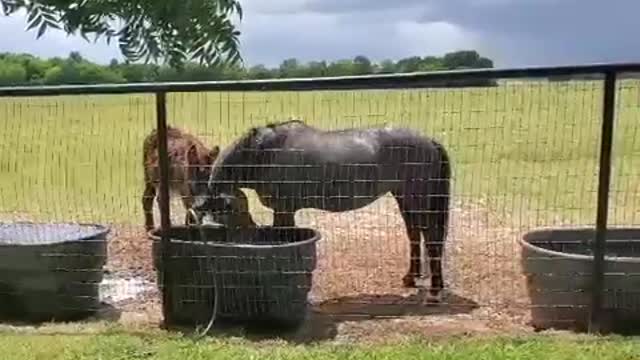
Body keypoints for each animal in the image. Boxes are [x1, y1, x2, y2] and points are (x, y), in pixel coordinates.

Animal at [198, 120, 452, 298]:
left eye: (233, 213)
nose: (247, 236)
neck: (264, 153)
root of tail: (430, 141)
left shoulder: (284, 210)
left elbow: (283, 238)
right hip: (404, 197)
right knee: (414, 234)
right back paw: (411, 278)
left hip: (418, 197)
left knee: (431, 237)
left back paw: (435, 289)